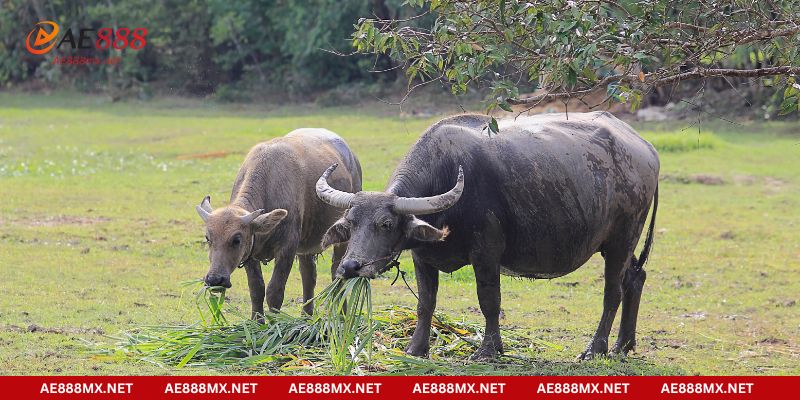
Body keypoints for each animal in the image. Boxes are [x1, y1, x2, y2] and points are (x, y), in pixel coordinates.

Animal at [197, 130, 362, 318]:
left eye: (236, 240)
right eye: (208, 238)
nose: (215, 279)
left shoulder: (287, 247)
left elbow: (274, 291)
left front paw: (275, 321)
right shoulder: (250, 252)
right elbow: (256, 289)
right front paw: (257, 321)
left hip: (342, 238)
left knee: (337, 275)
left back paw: (342, 315)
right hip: (305, 246)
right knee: (309, 275)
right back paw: (306, 315)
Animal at [316, 111, 660, 360]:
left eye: (386, 223)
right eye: (351, 223)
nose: (351, 267)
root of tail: (645, 149)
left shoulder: (486, 252)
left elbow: (489, 300)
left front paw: (488, 349)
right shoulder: (422, 256)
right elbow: (426, 302)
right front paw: (416, 348)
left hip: (622, 238)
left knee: (612, 291)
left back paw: (596, 348)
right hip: (622, 242)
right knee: (635, 278)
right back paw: (623, 344)